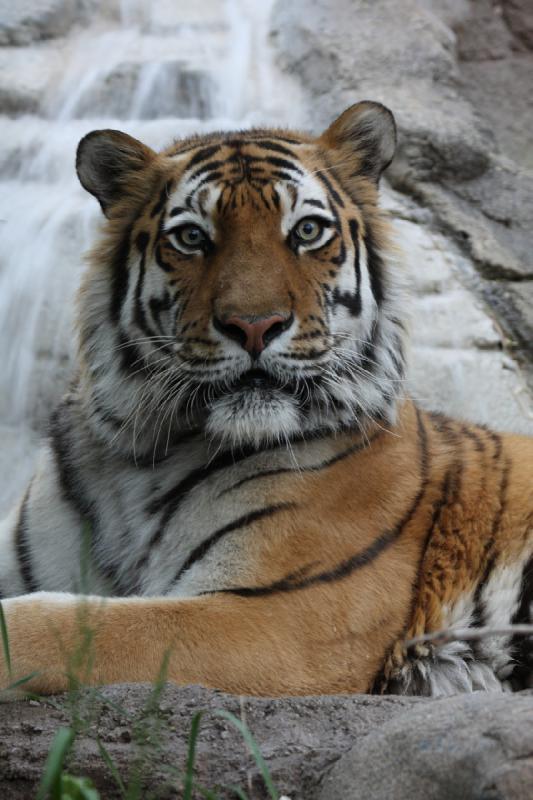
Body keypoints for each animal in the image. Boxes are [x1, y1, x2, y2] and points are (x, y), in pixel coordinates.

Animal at [0, 101, 528, 700]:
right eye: (191, 237)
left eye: (307, 231)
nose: (255, 326)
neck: (140, 456)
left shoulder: (288, 615)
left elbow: (77, 625)